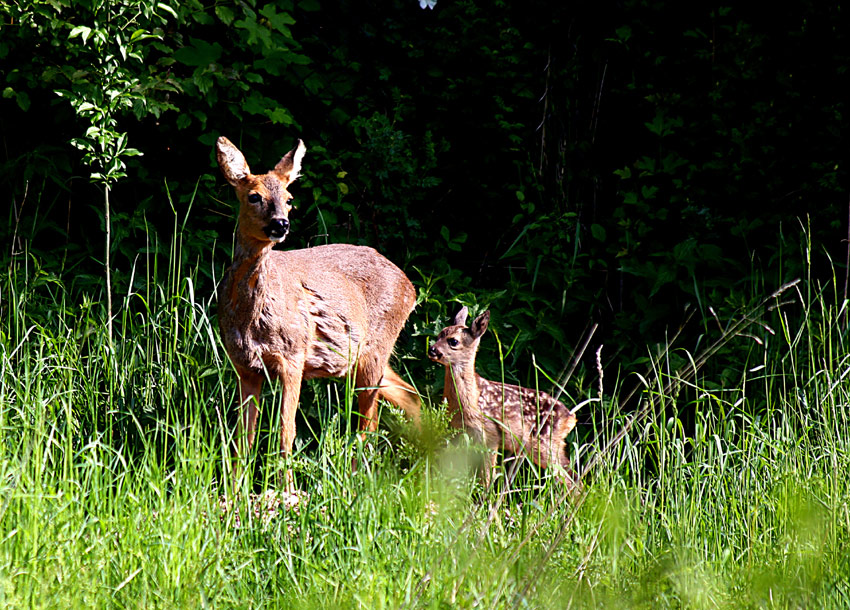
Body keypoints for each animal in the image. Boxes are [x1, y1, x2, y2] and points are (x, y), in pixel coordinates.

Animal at [217, 134, 420, 480]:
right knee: (410, 398)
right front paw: (234, 488)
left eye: (289, 198)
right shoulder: (245, 366)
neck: (251, 317)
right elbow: (243, 438)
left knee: (369, 422)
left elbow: (285, 433)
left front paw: (285, 489)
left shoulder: (293, 355)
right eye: (254, 196)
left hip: (375, 351)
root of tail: (410, 285)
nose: (280, 224)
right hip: (366, 357)